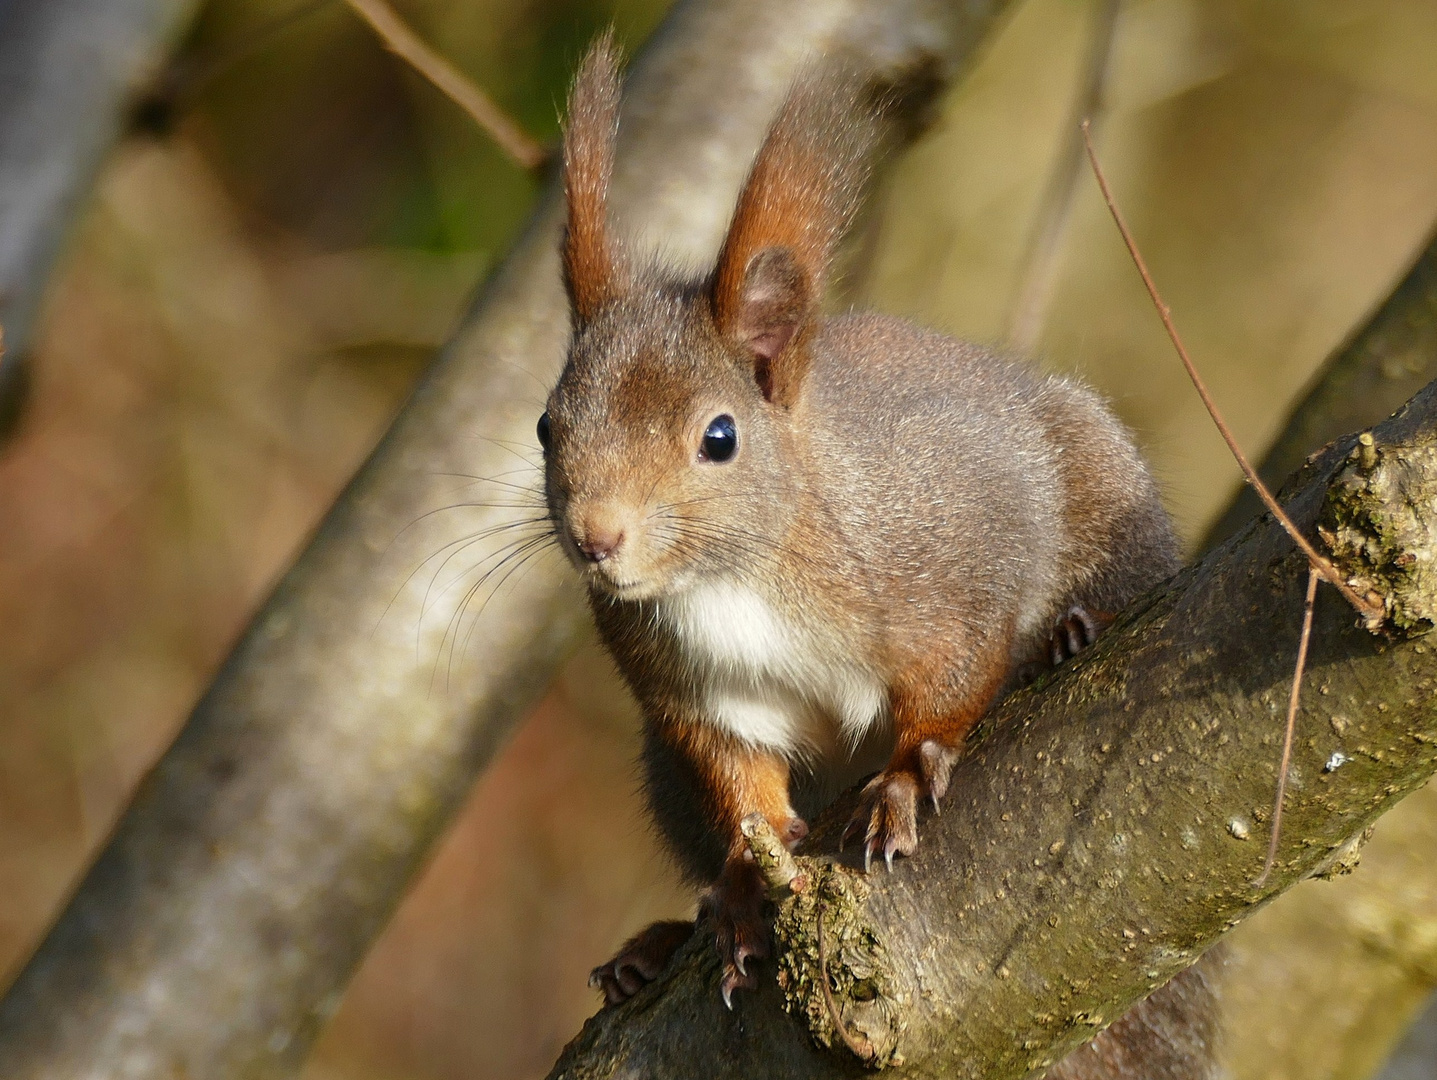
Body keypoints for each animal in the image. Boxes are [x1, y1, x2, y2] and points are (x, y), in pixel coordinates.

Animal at [540, 44, 1178, 1011]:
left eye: (718, 438)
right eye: (547, 426)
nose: (595, 537)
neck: (733, 575)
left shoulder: (946, 561)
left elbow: (953, 678)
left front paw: (908, 774)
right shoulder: (692, 697)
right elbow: (740, 784)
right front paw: (740, 884)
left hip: (1102, 488)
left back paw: (1071, 632)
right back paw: (656, 943)